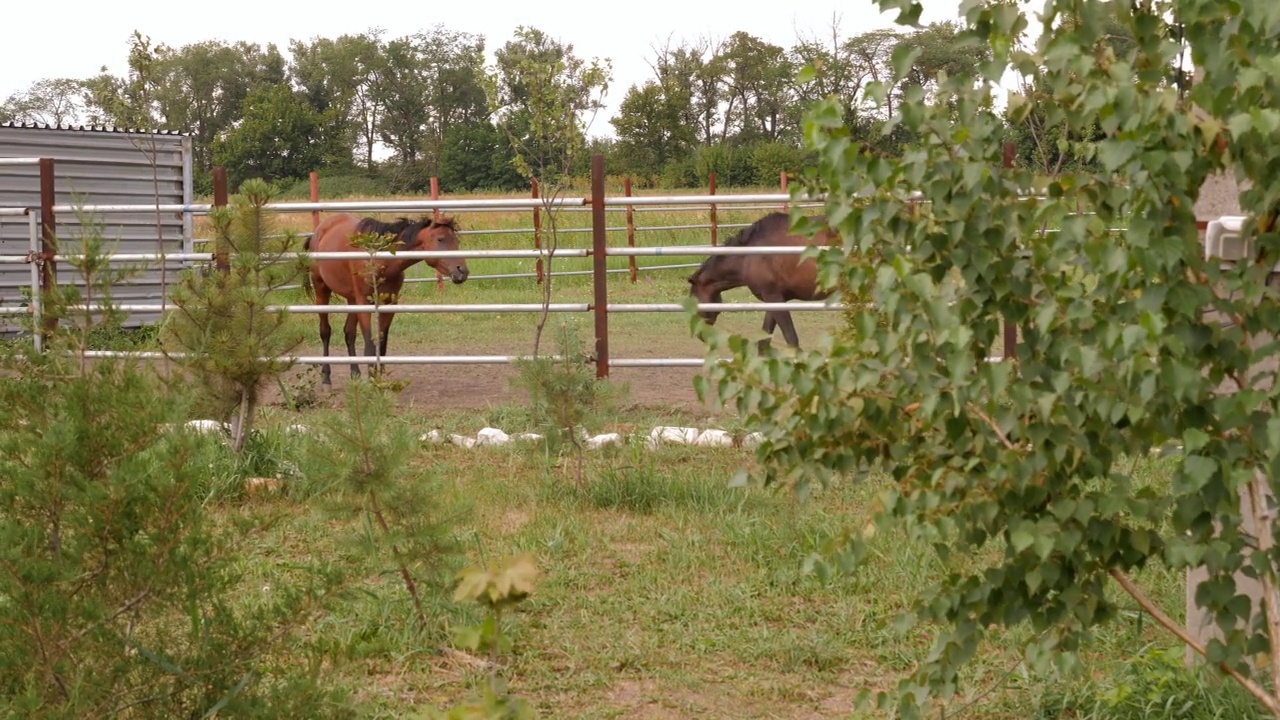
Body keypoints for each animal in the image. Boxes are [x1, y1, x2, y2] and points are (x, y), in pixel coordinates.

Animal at [303, 211, 471, 384]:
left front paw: (379, 378)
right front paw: (372, 381)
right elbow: (369, 346)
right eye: (440, 239)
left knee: (349, 333)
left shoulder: (389, 303)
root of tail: (319, 231)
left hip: (352, 299)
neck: (379, 260)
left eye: (457, 241)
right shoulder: (364, 302)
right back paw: (326, 378)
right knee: (325, 332)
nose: (462, 271)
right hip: (322, 290)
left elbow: (381, 345)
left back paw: (355, 374)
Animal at [686, 210, 834, 348]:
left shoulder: (774, 298)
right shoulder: (774, 298)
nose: (700, 335)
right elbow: (764, 341)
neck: (748, 256)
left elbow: (791, 339)